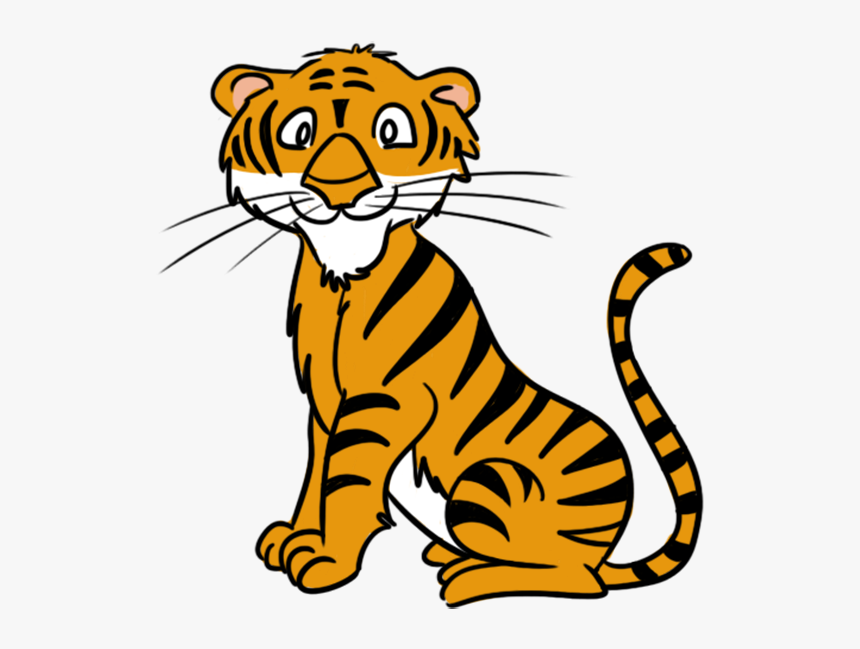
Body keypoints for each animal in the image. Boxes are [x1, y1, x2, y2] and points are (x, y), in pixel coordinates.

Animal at [199, 44, 702, 606]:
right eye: (299, 132)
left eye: (390, 130)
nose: (339, 189)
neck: (343, 270)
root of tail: (608, 547)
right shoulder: (324, 405)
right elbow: (316, 473)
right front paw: (295, 538)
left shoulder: (384, 402)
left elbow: (346, 481)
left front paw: (328, 562)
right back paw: (448, 556)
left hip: (488, 483)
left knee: (577, 579)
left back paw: (469, 579)